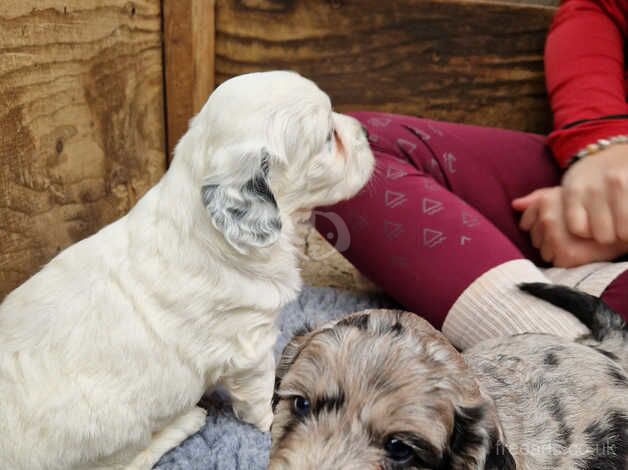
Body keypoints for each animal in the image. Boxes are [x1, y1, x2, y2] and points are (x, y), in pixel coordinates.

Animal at [0, 70, 372, 470]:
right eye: (328, 138)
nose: (367, 131)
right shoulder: (251, 346)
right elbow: (260, 393)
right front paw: (275, 422)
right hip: (115, 429)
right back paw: (187, 420)